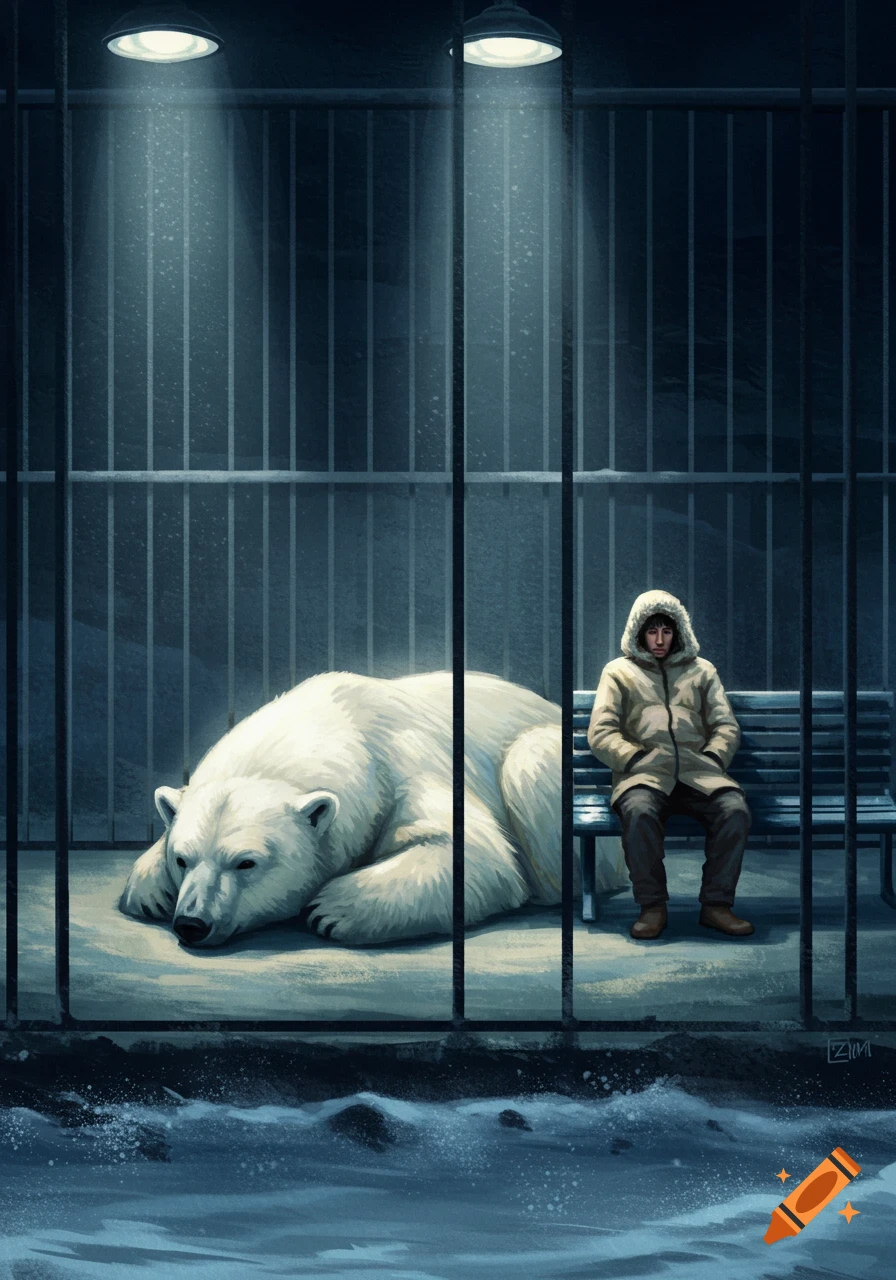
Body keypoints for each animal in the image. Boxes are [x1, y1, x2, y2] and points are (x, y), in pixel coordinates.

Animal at [119, 670, 628, 947]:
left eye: (246, 862)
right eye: (182, 859)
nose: (192, 923)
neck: (346, 723)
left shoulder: (407, 767)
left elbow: (475, 853)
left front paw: (330, 908)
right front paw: (150, 889)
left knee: (531, 764)